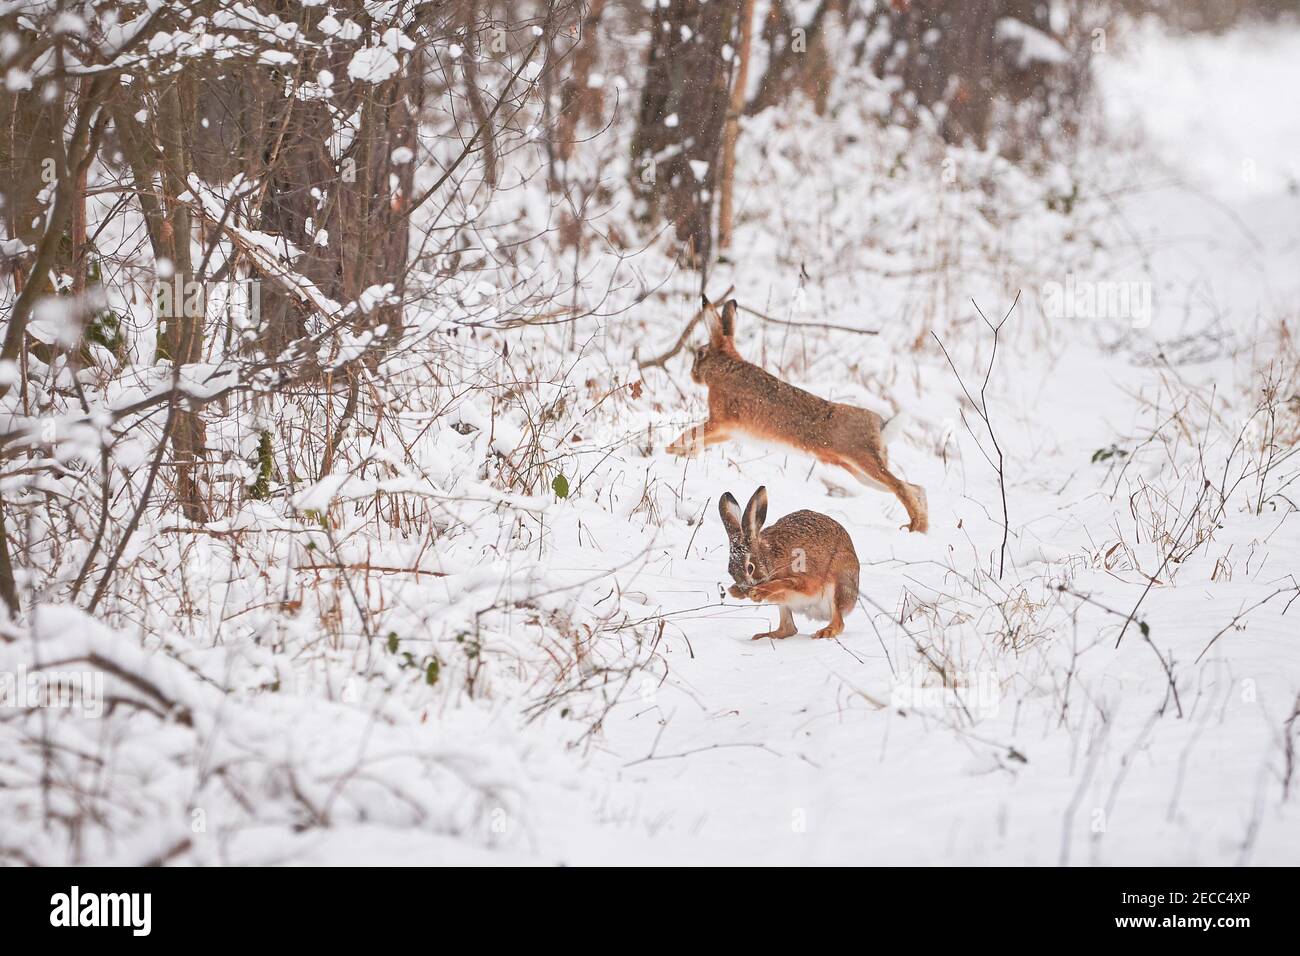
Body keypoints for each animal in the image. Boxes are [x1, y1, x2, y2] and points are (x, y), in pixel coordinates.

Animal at [666, 294, 928, 533]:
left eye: (699, 354)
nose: (693, 375)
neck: (724, 368)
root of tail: (879, 426)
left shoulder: (721, 420)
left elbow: (693, 431)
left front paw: (670, 450)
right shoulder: (730, 431)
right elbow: (702, 438)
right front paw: (685, 453)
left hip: (862, 458)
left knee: (902, 487)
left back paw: (914, 527)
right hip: (859, 471)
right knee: (914, 487)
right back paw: (921, 528)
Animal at [719, 486, 860, 640]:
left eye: (750, 567)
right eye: (730, 571)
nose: (745, 589)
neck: (770, 558)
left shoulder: (805, 578)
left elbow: (786, 582)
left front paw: (758, 592)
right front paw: (734, 591)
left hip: (838, 583)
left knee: (838, 622)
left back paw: (825, 632)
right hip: (784, 605)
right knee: (788, 629)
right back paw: (762, 635)